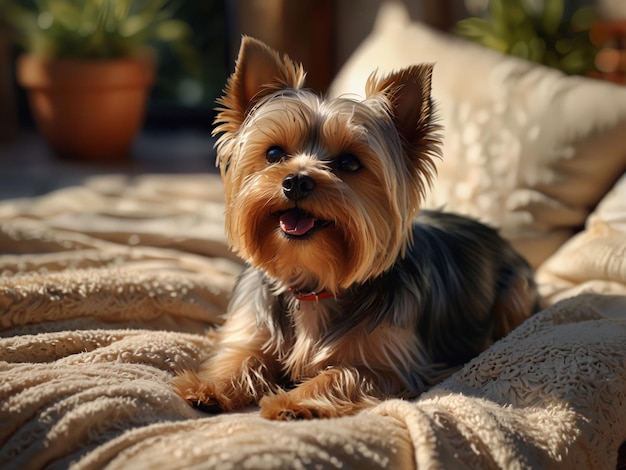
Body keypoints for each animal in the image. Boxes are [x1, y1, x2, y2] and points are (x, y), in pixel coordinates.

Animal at [173, 36, 540, 418]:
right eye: (274, 154)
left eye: (349, 162)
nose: (296, 181)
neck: (311, 280)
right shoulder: (252, 329)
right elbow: (240, 356)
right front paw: (209, 386)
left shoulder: (389, 364)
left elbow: (340, 374)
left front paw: (293, 402)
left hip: (514, 292)